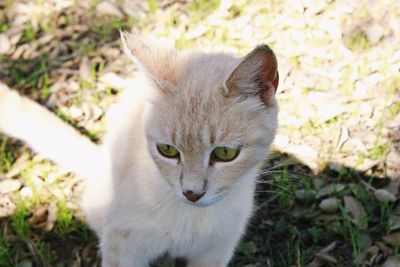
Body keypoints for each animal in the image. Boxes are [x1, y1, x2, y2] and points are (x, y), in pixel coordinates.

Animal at [0, 31, 280, 267]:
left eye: (225, 153)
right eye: (167, 150)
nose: (191, 193)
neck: (190, 218)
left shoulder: (217, 251)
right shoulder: (121, 246)